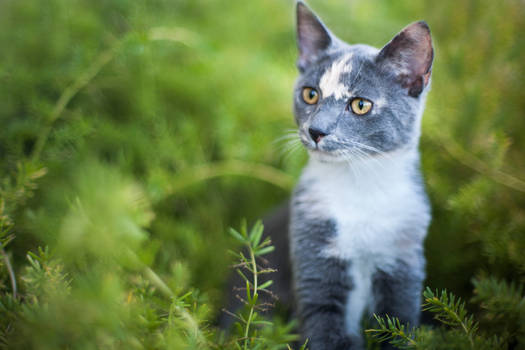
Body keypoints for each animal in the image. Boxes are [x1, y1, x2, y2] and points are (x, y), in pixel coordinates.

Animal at [288, 1, 432, 348]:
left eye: (361, 105)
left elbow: (399, 325)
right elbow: (324, 327)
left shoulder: (403, 260)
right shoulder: (315, 256)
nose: (316, 131)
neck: (359, 183)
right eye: (310, 94)